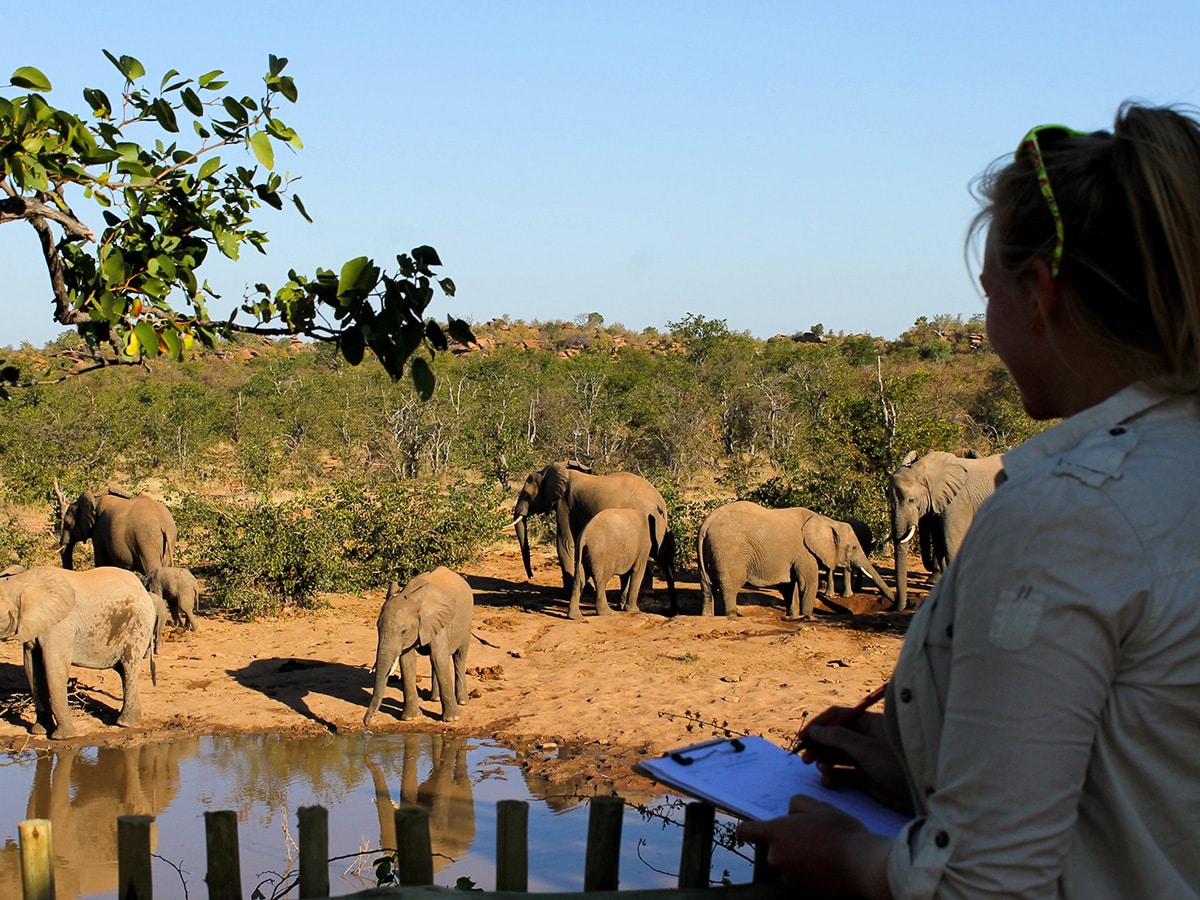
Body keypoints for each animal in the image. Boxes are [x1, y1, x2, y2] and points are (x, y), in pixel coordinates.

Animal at [0, 566, 159, 739]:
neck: (21, 582)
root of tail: (144, 591)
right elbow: (32, 670)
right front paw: (38, 732)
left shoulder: (61, 626)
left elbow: (55, 670)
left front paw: (63, 738)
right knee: (123, 672)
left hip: (138, 626)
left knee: (129, 667)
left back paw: (124, 724)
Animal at [363, 566, 474, 726]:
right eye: (377, 627)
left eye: (403, 631)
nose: (367, 723)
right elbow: (407, 662)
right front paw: (411, 718)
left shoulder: (438, 622)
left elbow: (439, 658)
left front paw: (452, 719)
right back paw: (434, 699)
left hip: (467, 622)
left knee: (459, 657)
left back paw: (463, 701)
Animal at [509, 461, 678, 613]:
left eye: (527, 495)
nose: (531, 576)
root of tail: (660, 502)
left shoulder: (565, 504)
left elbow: (565, 544)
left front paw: (569, 593)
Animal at [887, 449, 1005, 610]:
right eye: (890, 501)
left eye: (911, 500)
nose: (896, 605)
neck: (924, 471)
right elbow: (940, 545)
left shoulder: (957, 501)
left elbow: (950, 544)